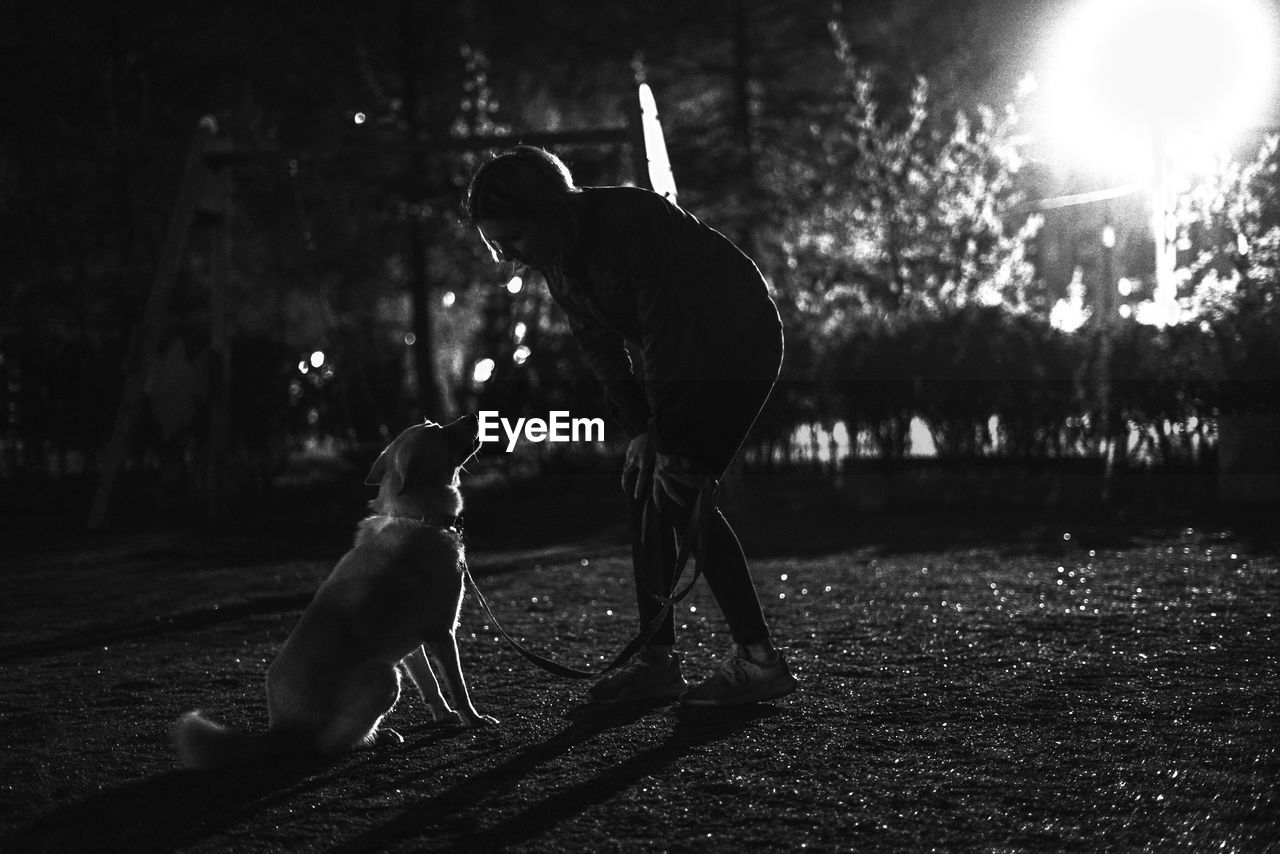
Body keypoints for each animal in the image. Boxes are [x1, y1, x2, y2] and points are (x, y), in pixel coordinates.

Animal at [177, 414, 496, 768]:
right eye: (439, 431)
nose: (476, 417)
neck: (417, 517)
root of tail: (281, 729)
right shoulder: (442, 633)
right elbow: (458, 686)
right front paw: (474, 720)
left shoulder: (413, 645)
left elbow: (430, 685)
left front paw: (444, 716)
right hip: (385, 679)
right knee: (326, 745)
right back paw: (375, 739)